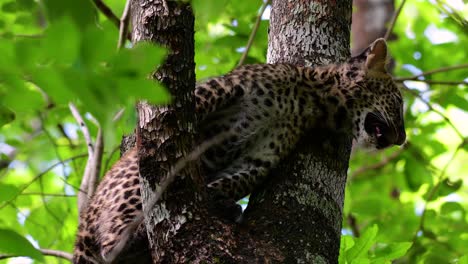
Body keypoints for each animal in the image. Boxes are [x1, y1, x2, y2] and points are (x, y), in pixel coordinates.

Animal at [73, 38, 406, 262]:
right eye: (400, 101)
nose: (402, 138)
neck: (313, 100)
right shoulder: (218, 91)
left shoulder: (262, 154)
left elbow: (235, 180)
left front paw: (218, 199)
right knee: (112, 243)